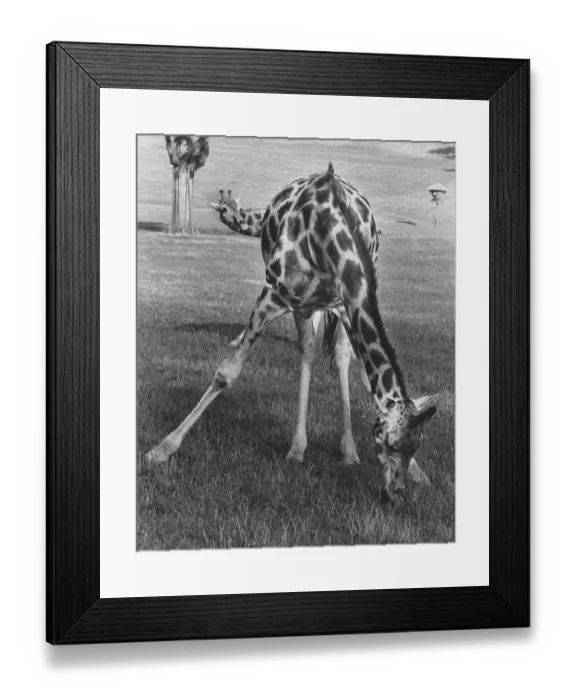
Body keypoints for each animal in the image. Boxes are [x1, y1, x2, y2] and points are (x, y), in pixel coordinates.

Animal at [146, 163, 437, 502]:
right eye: (389, 443)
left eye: (416, 444)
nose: (396, 493)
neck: (328, 233)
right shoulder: (276, 294)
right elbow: (226, 373)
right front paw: (163, 448)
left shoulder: (343, 302)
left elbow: (366, 378)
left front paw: (419, 472)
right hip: (304, 306)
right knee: (309, 350)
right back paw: (298, 449)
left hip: (324, 308)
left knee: (335, 355)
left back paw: (348, 451)